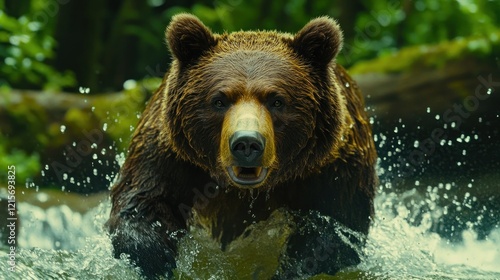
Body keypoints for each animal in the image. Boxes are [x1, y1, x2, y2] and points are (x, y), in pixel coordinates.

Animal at [107, 12, 376, 278]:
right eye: (219, 100)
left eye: (277, 101)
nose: (247, 143)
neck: (244, 191)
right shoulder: (169, 155)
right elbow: (143, 205)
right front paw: (155, 258)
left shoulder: (333, 168)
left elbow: (334, 230)